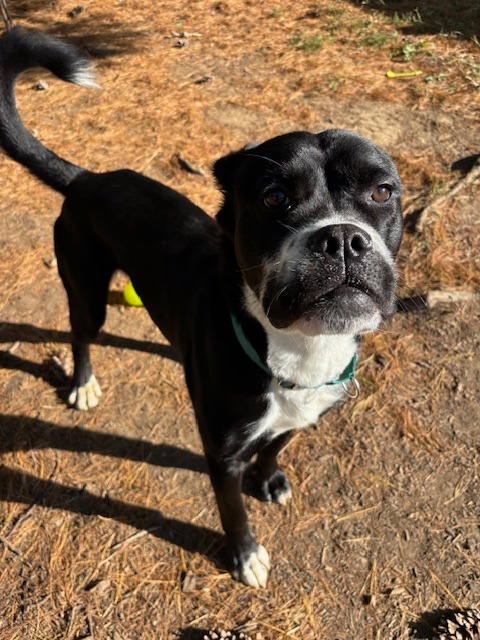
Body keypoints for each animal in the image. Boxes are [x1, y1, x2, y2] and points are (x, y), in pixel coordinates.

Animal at [0, 27, 403, 588]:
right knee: (81, 334)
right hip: (84, 285)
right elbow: (232, 509)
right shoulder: (221, 453)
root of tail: (87, 178)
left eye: (382, 191)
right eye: (273, 197)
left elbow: (275, 444)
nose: (342, 238)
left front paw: (270, 479)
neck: (296, 348)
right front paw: (245, 555)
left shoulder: (300, 415)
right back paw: (83, 385)